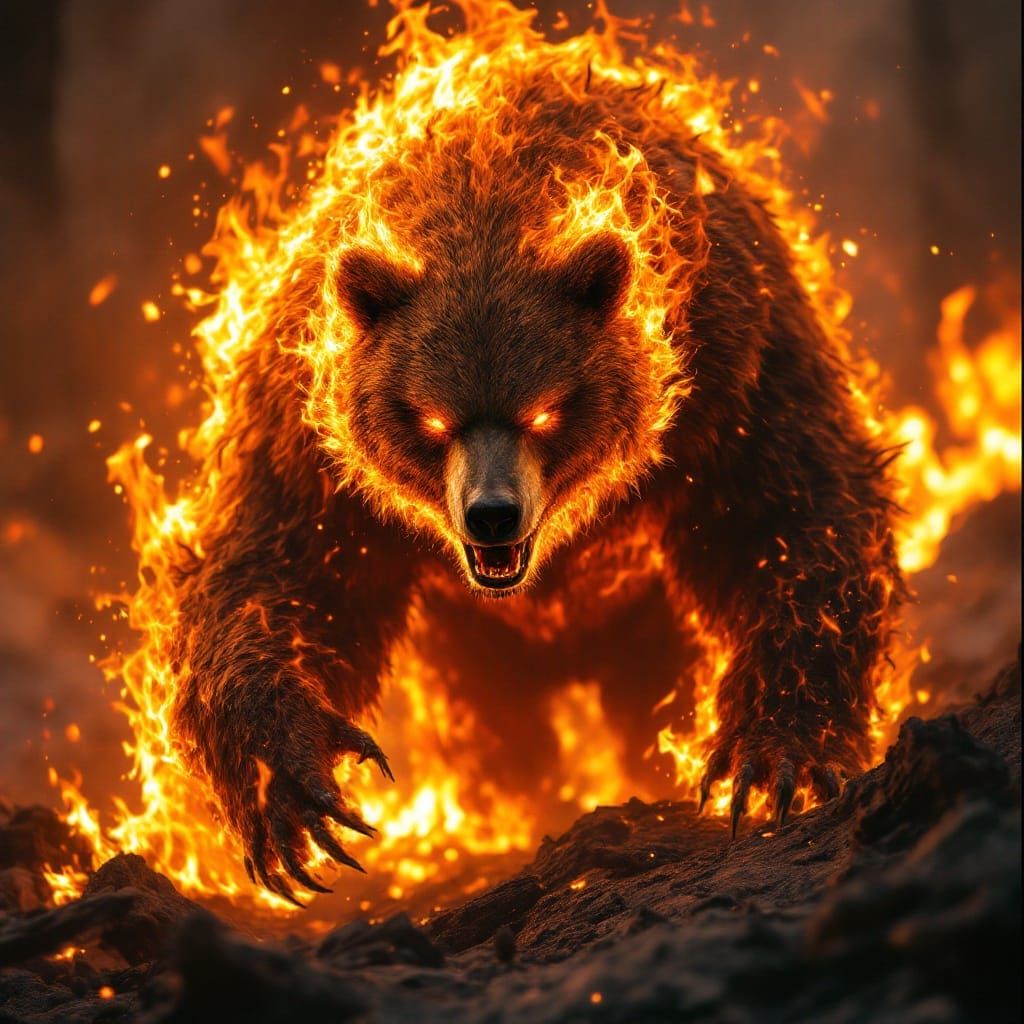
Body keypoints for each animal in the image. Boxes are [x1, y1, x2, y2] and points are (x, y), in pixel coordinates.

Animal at [166, 41, 903, 904]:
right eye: (430, 418)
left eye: (547, 410)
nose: (493, 514)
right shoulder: (310, 439)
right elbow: (275, 578)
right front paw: (300, 794)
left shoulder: (731, 364)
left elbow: (789, 518)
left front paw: (773, 756)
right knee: (490, 719)